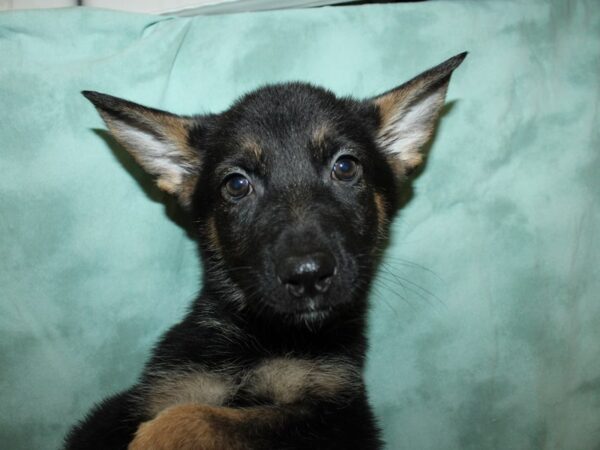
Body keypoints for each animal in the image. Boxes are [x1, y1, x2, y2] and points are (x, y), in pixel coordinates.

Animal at [67, 53, 468, 450]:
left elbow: (208, 418)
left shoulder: (337, 417)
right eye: (237, 184)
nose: (308, 275)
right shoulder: (159, 393)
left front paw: (155, 438)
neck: (259, 336)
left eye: (345, 166)